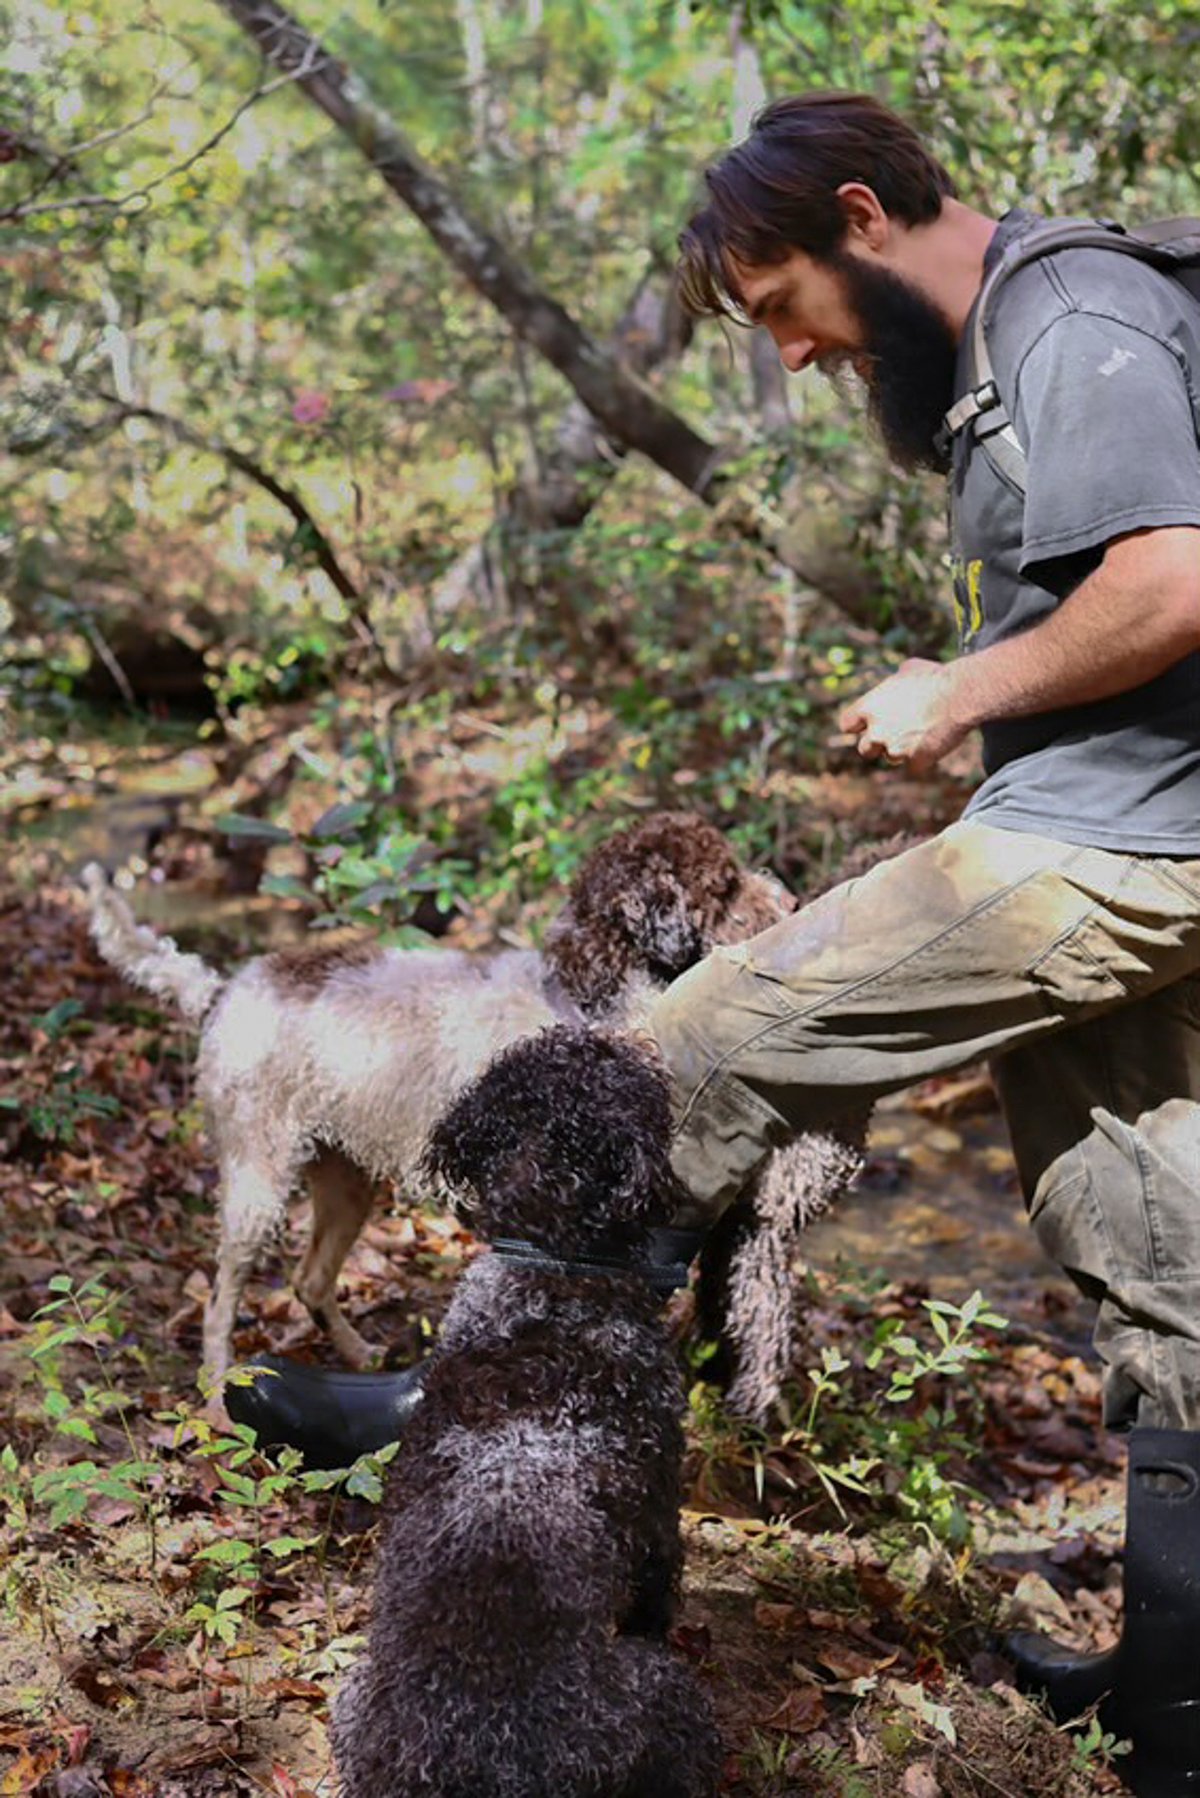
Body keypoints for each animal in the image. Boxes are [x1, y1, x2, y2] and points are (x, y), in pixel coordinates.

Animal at [86, 809, 798, 1380]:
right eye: (725, 885)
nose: (789, 900)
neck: (582, 989)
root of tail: (222, 993)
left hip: (347, 1179)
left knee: (309, 1279)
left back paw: (357, 1355)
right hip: (257, 1178)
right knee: (220, 1299)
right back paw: (214, 1399)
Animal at [331, 1028, 723, 1798]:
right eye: (619, 1070)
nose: (628, 1032)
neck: (550, 1269)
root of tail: (485, 1757)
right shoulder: (657, 1511)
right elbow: (659, 1587)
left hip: (352, 1700)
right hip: (662, 1692)